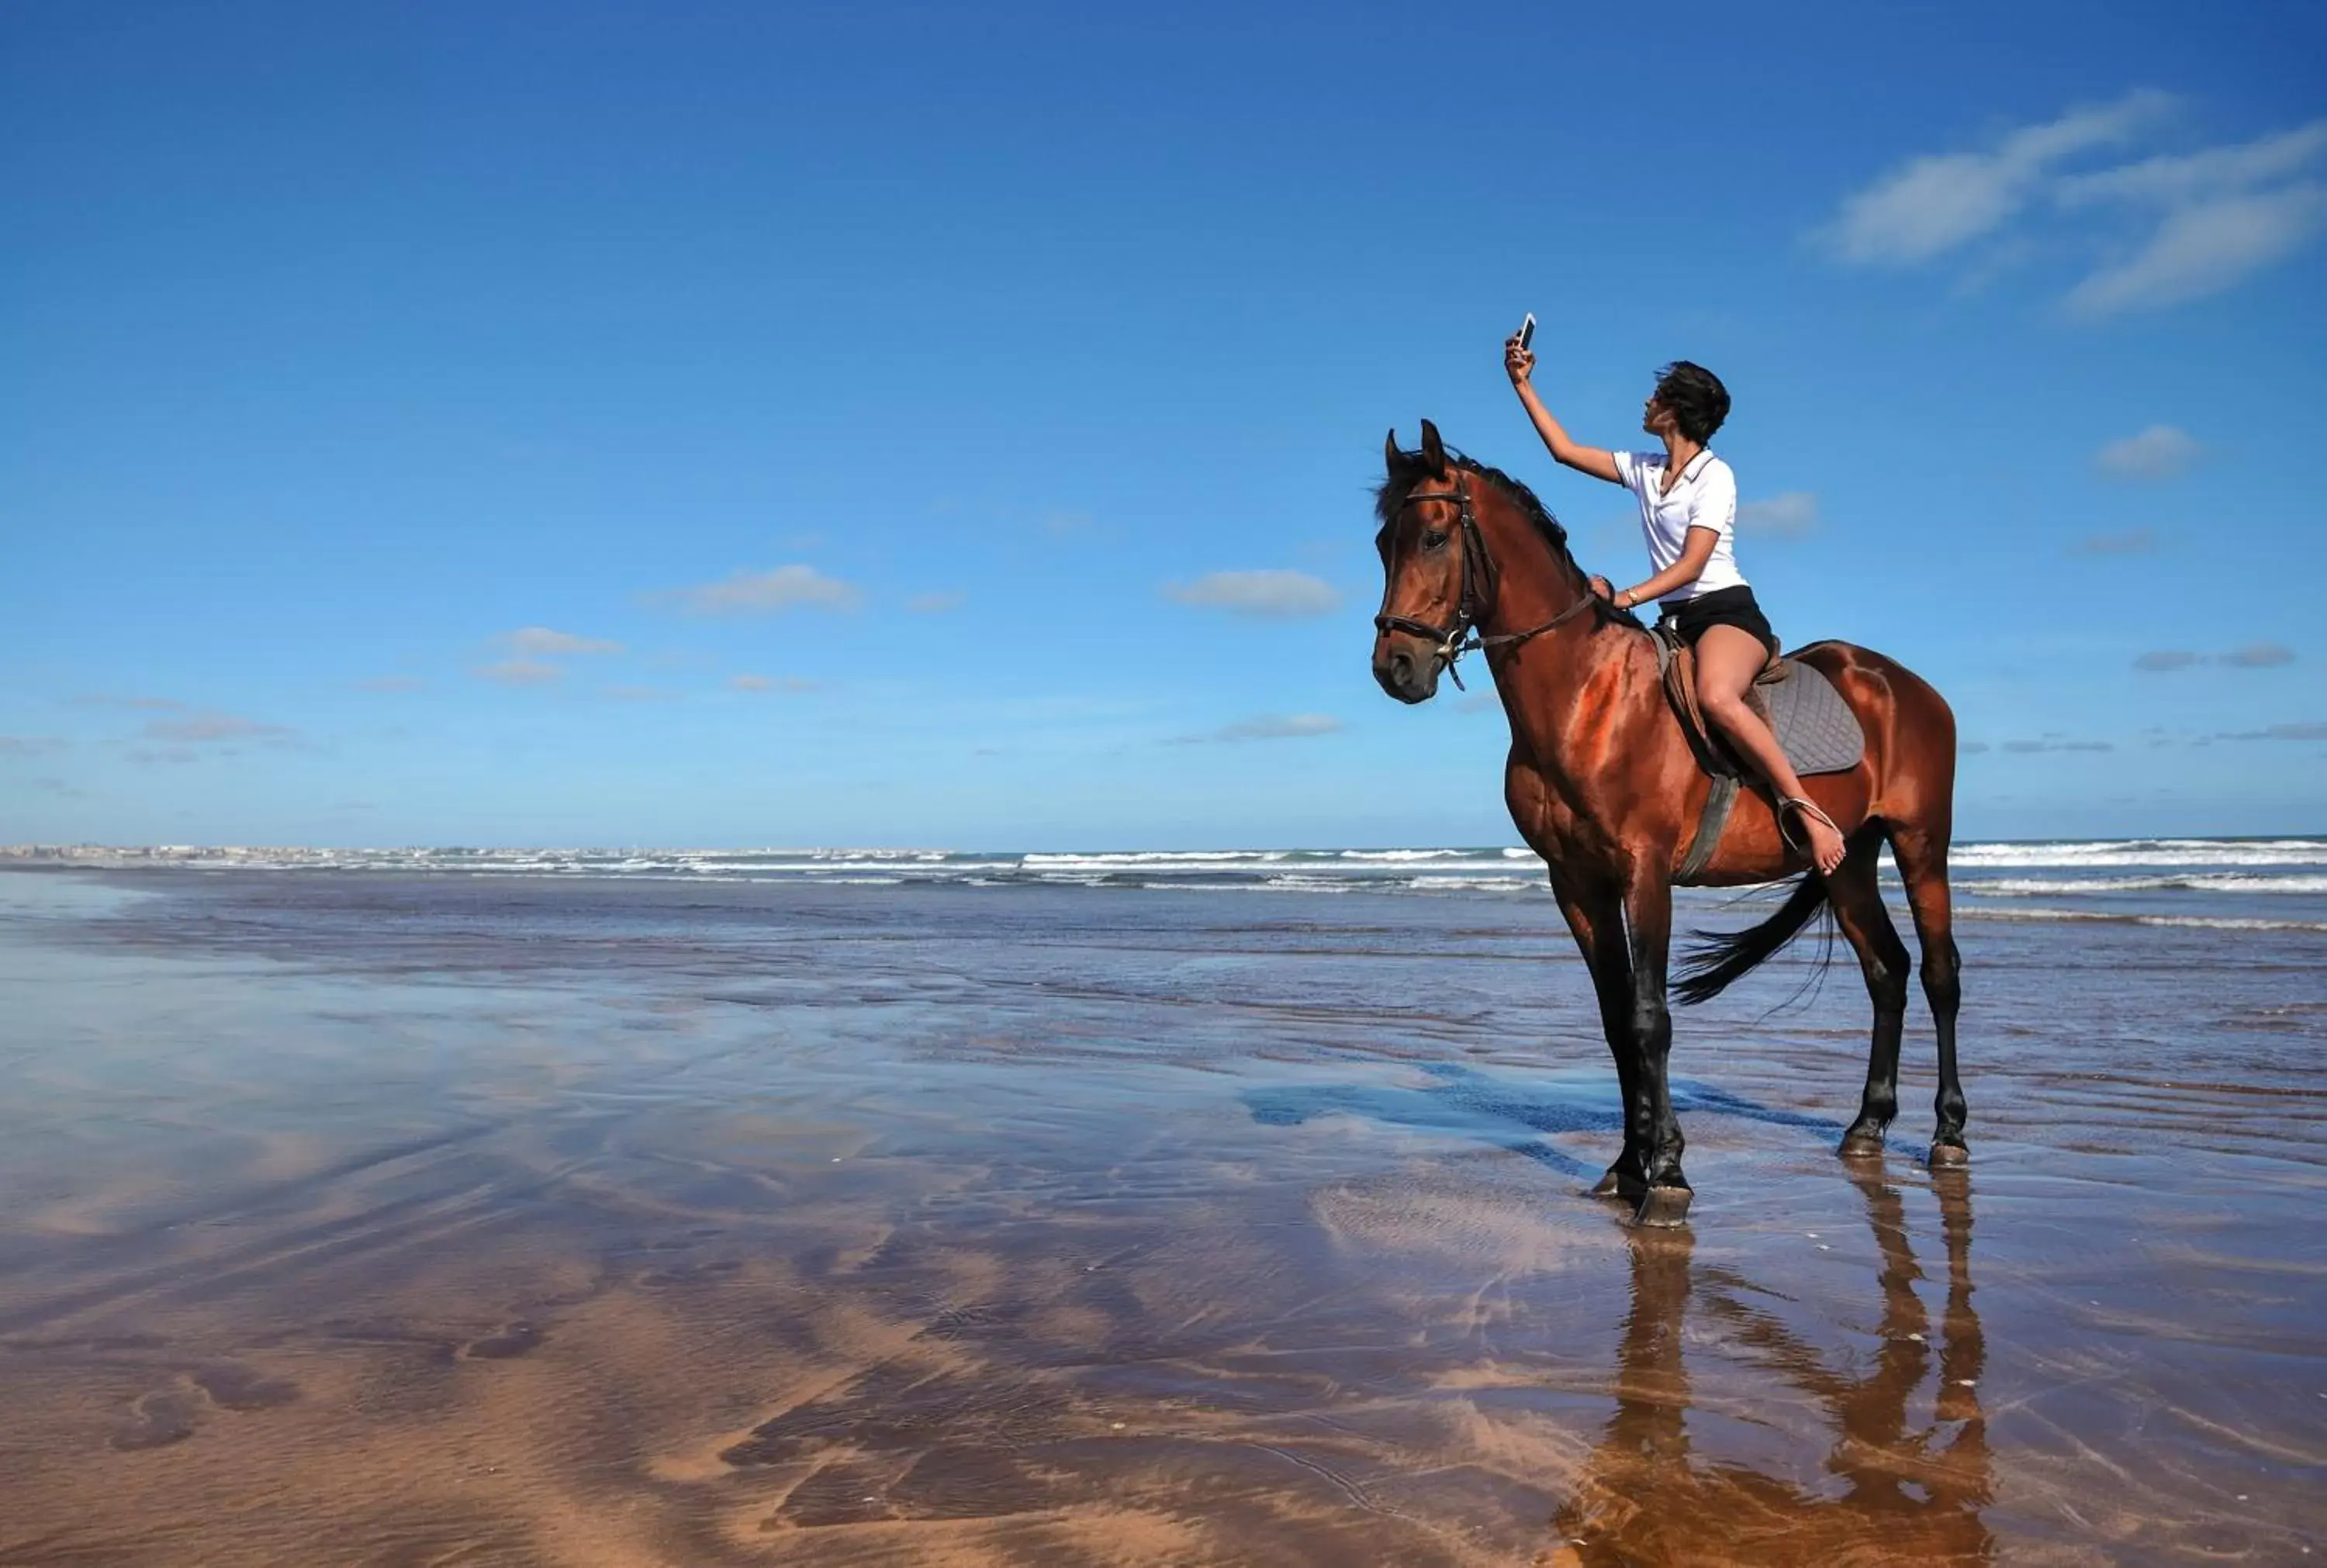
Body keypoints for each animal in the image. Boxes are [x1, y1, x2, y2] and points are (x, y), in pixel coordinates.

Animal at [1368, 423, 1955, 1219]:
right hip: (1849, 859)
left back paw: (1949, 1134)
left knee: (1939, 974)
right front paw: (1627, 1166)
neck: (1587, 696)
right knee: (1886, 971)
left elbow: (1651, 1019)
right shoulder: (1577, 884)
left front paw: (1668, 1173)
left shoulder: (1645, 872)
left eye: (1432, 537)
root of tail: (1904, 684)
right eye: (1382, 544)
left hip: (1922, 842)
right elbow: (1617, 1021)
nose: (1395, 666)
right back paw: (1867, 1125)